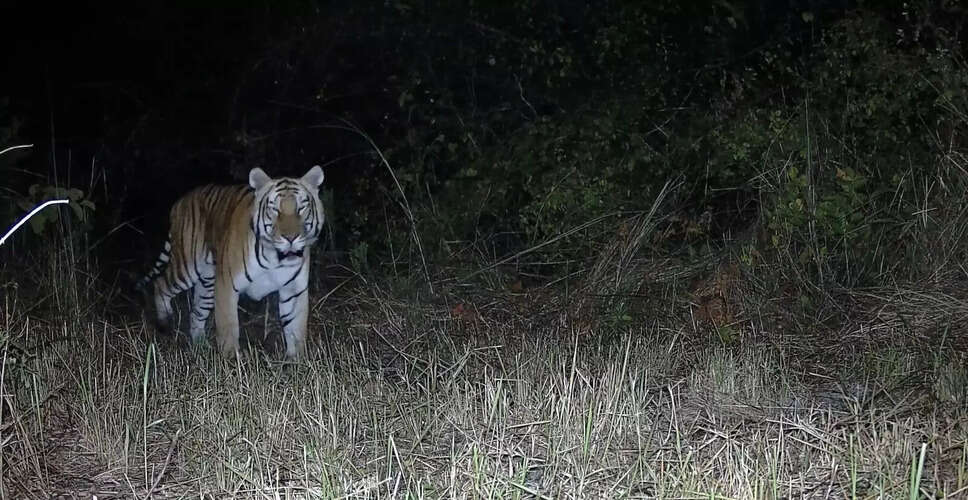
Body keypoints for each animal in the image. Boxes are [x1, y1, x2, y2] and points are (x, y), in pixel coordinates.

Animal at [138, 166, 325, 358]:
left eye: (301, 208)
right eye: (274, 209)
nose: (291, 238)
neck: (275, 257)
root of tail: (180, 201)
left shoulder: (294, 290)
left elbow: (296, 330)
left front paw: (297, 361)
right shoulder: (227, 286)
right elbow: (228, 328)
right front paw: (231, 361)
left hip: (208, 282)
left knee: (196, 312)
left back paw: (200, 346)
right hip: (187, 266)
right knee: (161, 283)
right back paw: (165, 322)